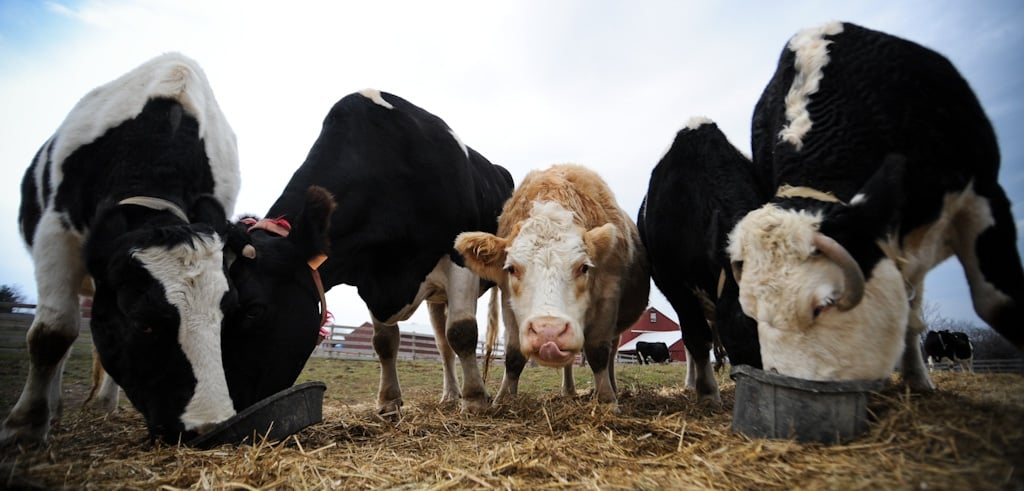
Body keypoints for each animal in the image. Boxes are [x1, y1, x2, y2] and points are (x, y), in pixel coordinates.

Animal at [2, 54, 243, 446]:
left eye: (229, 312)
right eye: (142, 321)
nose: (209, 426)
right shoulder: (55, 232)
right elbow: (52, 333)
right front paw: (25, 426)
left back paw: (102, 403)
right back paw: (53, 408)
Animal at [456, 162, 647, 410]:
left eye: (584, 267)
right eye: (512, 268)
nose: (549, 332)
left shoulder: (608, 296)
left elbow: (598, 353)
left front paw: (606, 400)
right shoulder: (508, 302)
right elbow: (514, 355)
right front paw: (504, 399)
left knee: (611, 352)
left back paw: (611, 387)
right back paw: (568, 391)